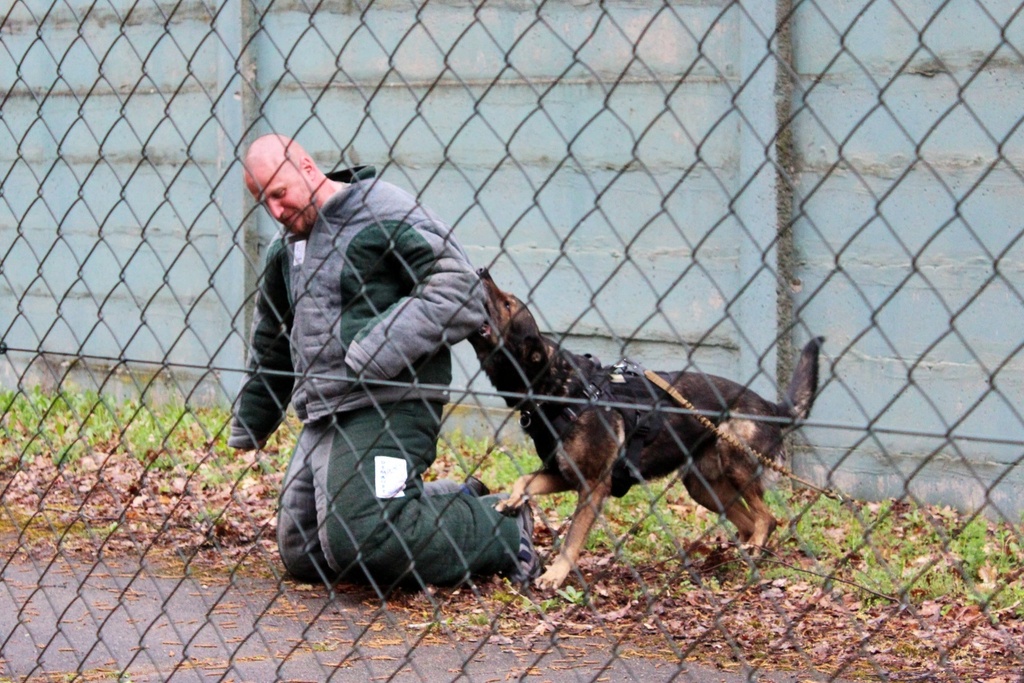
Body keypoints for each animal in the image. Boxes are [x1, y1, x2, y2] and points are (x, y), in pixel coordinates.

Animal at [471, 270, 823, 589]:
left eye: (506, 304)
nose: (481, 270)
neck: (562, 389)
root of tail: (772, 407)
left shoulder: (593, 486)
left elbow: (571, 540)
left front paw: (556, 574)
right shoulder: (564, 474)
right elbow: (523, 481)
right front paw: (512, 502)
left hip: (735, 462)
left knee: (768, 519)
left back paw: (753, 554)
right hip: (702, 486)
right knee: (750, 522)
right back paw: (738, 557)